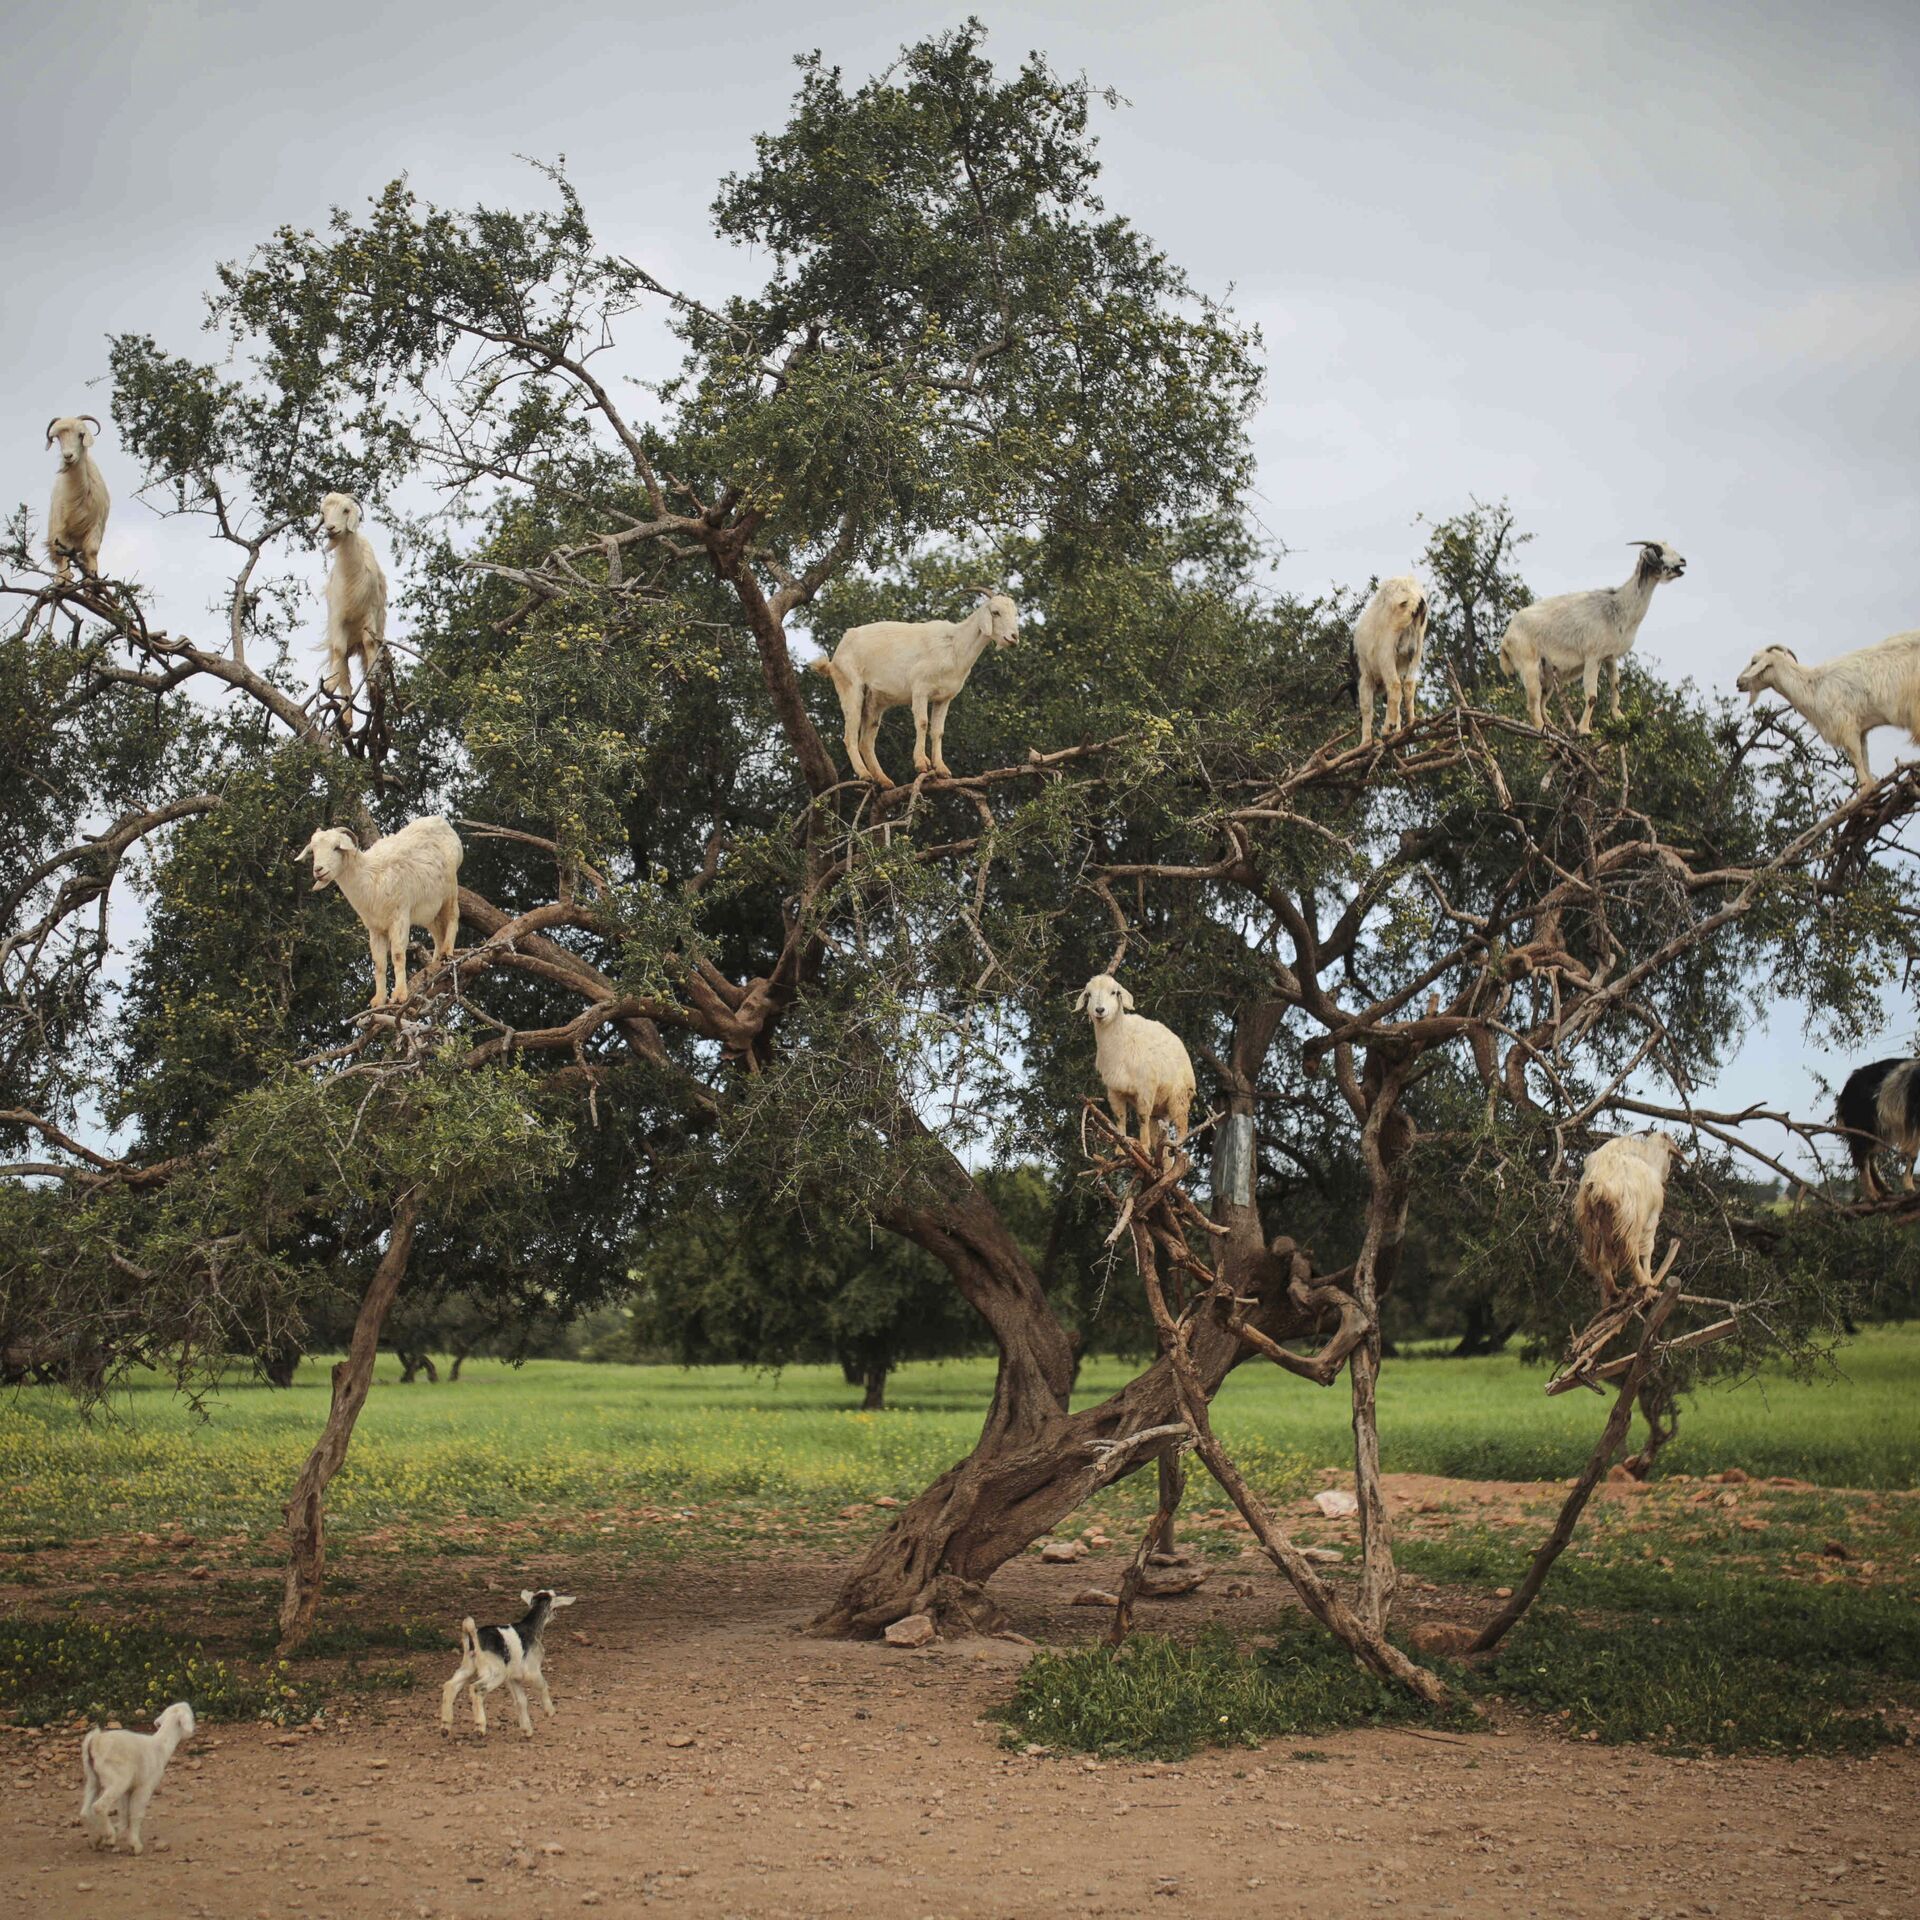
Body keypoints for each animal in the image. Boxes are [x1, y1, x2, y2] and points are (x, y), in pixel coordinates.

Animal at [439, 1589, 572, 1743]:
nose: (556, 1614)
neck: (532, 1627)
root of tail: (474, 1636)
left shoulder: (513, 1677)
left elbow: (521, 1701)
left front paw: (527, 1731)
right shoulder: (532, 1670)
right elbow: (543, 1685)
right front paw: (549, 1711)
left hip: (468, 1666)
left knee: (450, 1685)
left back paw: (445, 1726)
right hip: (495, 1672)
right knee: (476, 1688)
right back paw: (479, 1727)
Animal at [1075, 975, 1190, 1152]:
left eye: (1114, 992)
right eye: (1088, 994)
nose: (1100, 1010)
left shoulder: (1146, 1088)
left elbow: (1142, 1117)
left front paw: (1143, 1147)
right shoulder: (1114, 1090)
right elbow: (1119, 1118)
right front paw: (1121, 1149)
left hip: (1180, 1096)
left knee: (1182, 1127)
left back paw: (1177, 1148)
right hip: (1160, 1109)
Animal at [1574, 1128, 1681, 1313]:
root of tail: (1600, 1182)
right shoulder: (1651, 1217)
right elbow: (1648, 1248)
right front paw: (1649, 1281)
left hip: (1597, 1221)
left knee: (1602, 1258)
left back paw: (1614, 1291)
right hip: (1631, 1219)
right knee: (1631, 1251)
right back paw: (1642, 1281)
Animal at [1827, 1059, 1920, 1190]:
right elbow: (1913, 1154)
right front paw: (1909, 1187)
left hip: (1880, 1130)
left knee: (1870, 1156)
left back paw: (1885, 1189)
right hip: (1863, 1126)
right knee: (1861, 1157)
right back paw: (1874, 1193)